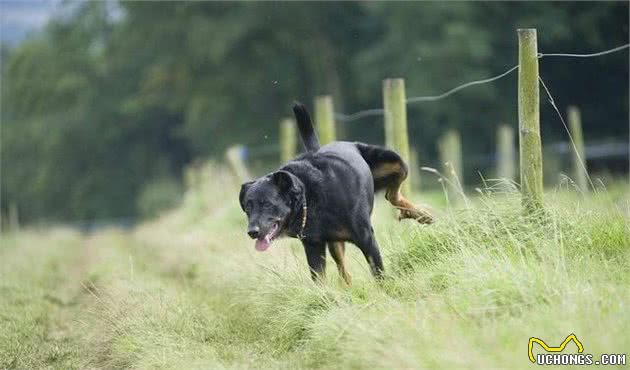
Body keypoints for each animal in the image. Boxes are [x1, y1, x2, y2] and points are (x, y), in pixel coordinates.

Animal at [241, 102, 434, 282]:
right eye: (247, 208)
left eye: (267, 204)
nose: (252, 232)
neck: (310, 197)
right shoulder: (313, 246)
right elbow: (319, 279)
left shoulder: (366, 237)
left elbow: (378, 272)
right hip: (334, 243)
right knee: (344, 272)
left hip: (395, 160)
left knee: (393, 191)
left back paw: (420, 214)